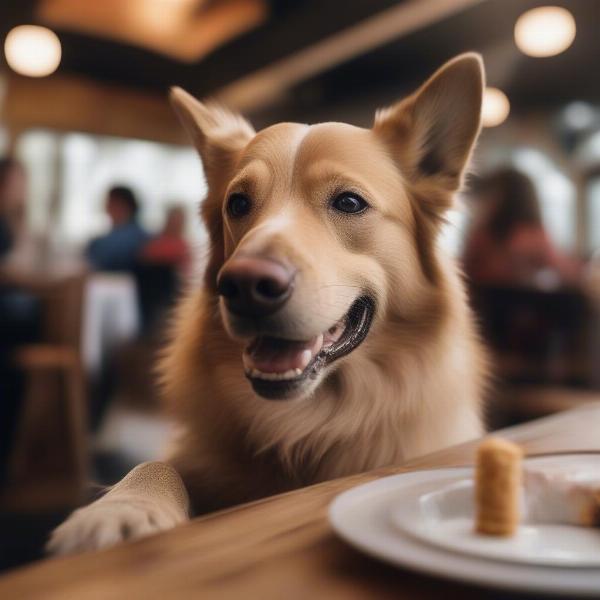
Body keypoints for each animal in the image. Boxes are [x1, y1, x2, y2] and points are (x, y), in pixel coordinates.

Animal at [48, 54, 488, 556]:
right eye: (238, 203)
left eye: (349, 201)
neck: (308, 424)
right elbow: (157, 466)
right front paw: (121, 509)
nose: (244, 285)